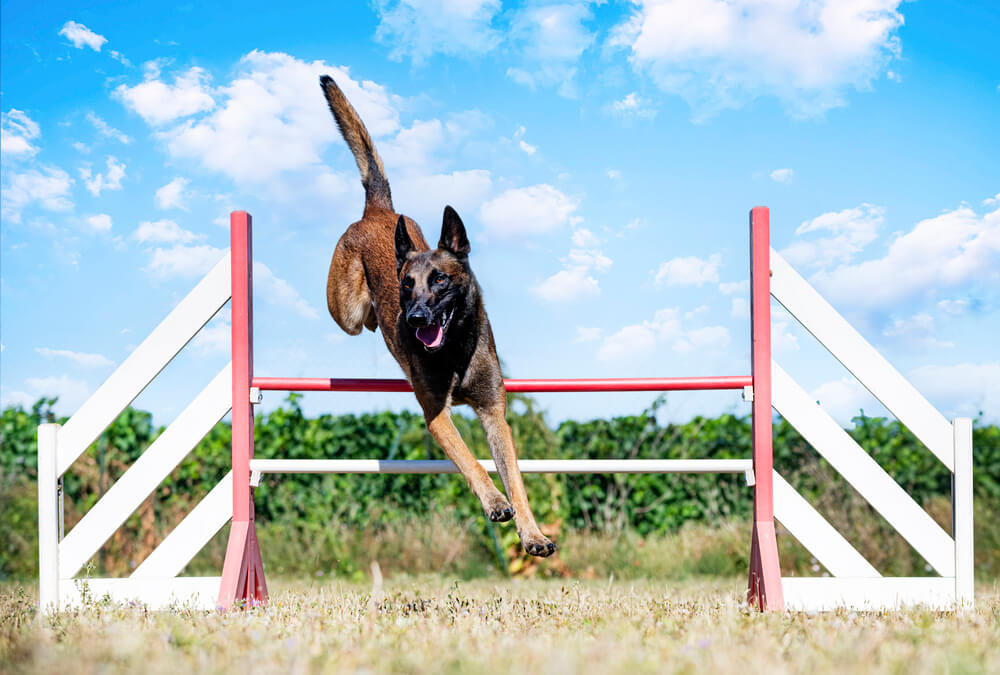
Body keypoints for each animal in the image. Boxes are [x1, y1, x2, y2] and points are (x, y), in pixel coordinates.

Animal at [318, 75, 556, 560]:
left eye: (441, 280)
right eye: (407, 284)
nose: (413, 317)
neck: (456, 350)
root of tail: (378, 211)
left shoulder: (494, 415)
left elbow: (517, 480)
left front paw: (532, 532)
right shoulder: (437, 416)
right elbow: (471, 461)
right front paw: (494, 501)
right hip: (344, 309)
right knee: (352, 317)